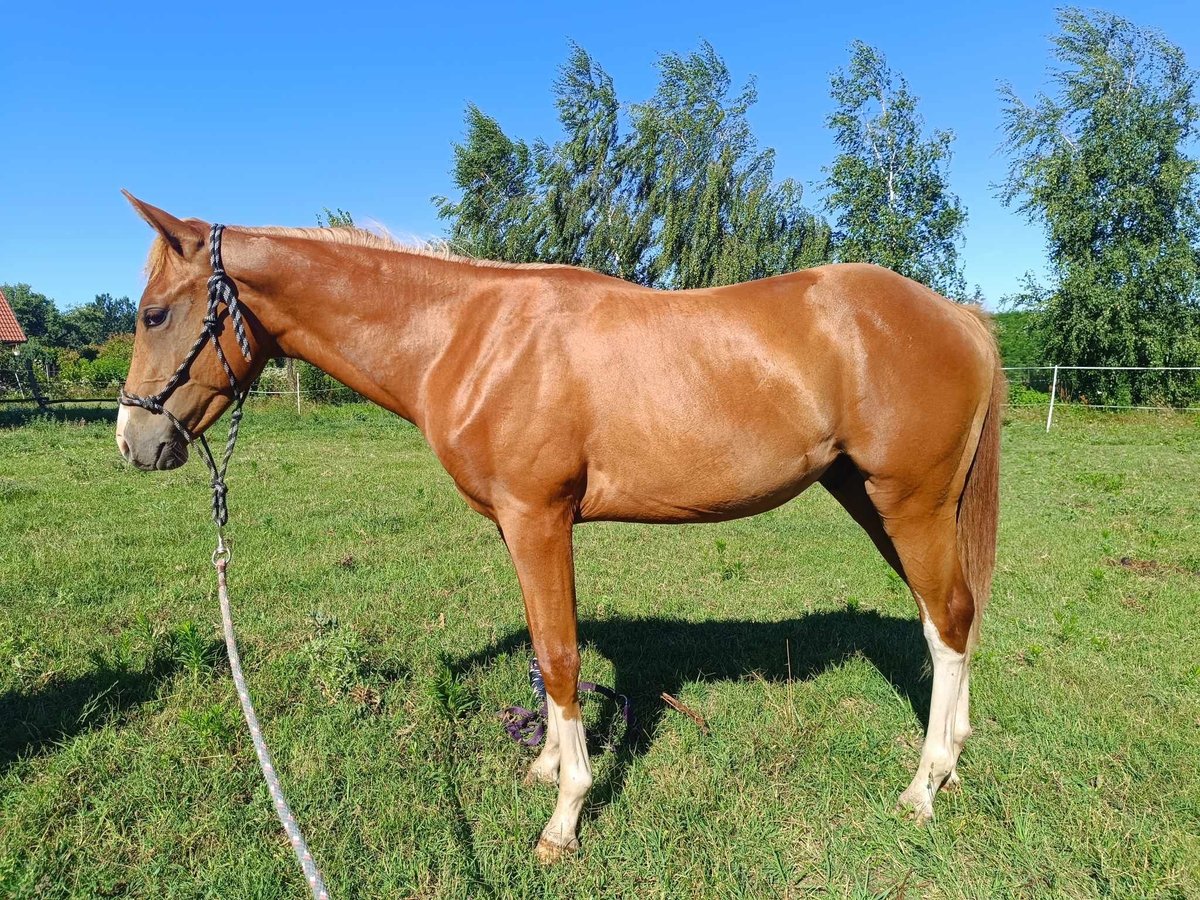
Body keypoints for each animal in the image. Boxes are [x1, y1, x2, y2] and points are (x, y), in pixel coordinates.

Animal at [119, 194, 1003, 864]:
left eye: (155, 313)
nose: (135, 442)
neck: (469, 336)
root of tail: (958, 315)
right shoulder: (518, 529)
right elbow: (547, 658)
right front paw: (547, 766)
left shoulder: (539, 519)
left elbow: (560, 654)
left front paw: (565, 817)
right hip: (873, 498)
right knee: (948, 620)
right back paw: (953, 762)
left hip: (910, 502)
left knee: (949, 623)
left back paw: (923, 787)